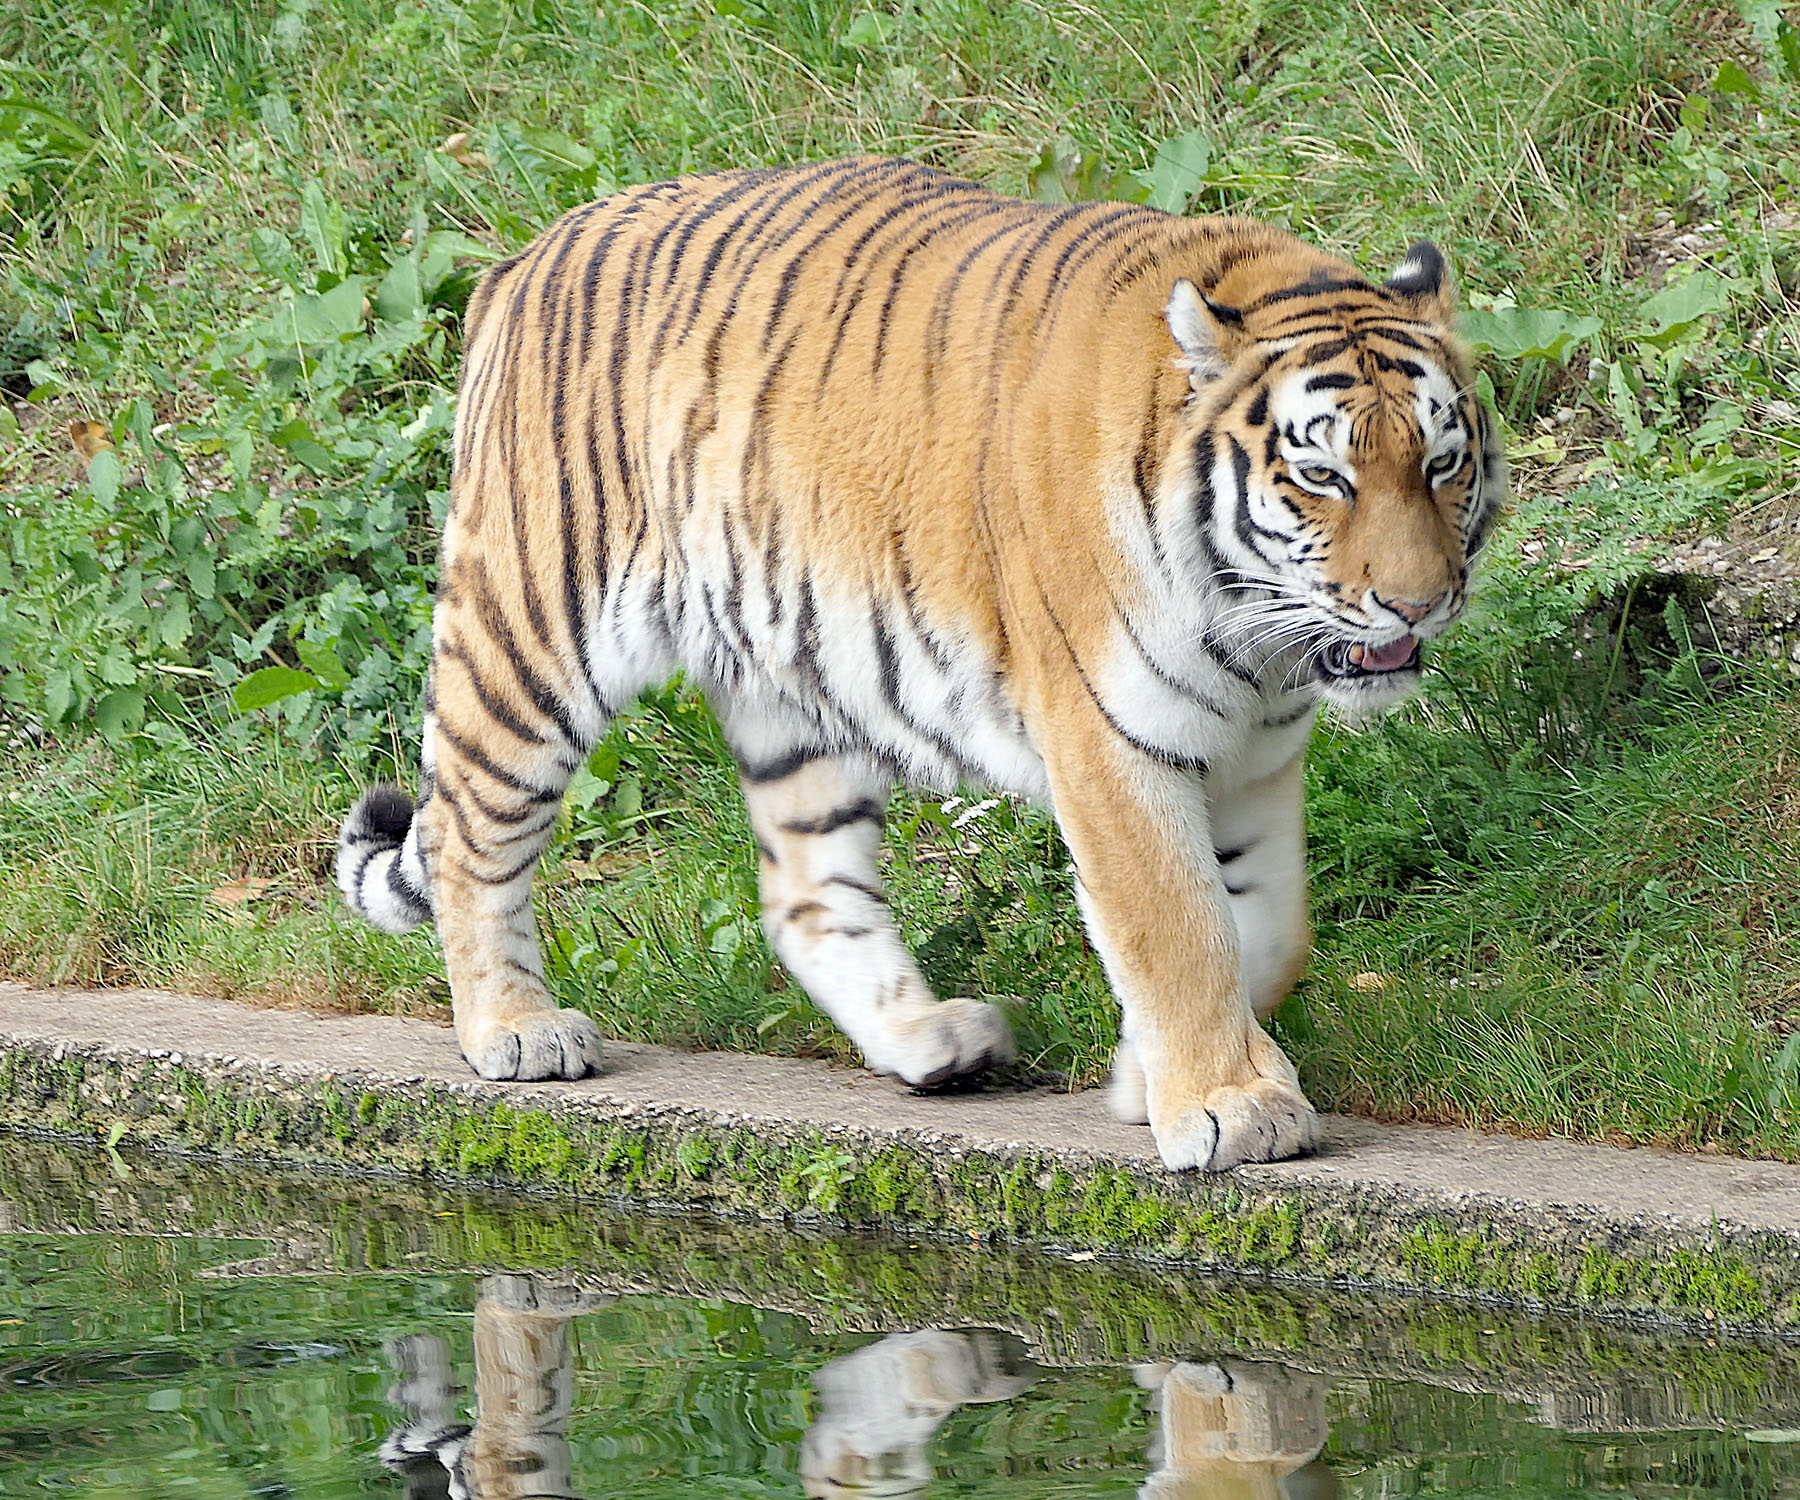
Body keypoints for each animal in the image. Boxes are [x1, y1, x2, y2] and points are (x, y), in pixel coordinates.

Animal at [335, 154, 1505, 1172]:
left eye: (1442, 463)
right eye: (1325, 476)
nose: (1417, 602)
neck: (1257, 644)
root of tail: (524, 257)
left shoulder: (1258, 757)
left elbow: (1269, 930)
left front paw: (1150, 1077)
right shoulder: (1111, 744)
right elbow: (1178, 926)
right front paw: (1232, 1107)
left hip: (793, 681)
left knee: (803, 894)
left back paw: (930, 1040)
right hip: (534, 632)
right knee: (471, 838)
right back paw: (516, 1031)